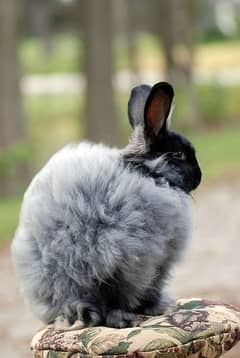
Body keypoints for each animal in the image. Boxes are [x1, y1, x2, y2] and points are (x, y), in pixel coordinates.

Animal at [11, 82, 202, 330]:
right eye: (179, 154)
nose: (199, 177)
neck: (148, 172)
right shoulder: (158, 258)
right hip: (119, 262)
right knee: (116, 300)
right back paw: (128, 317)